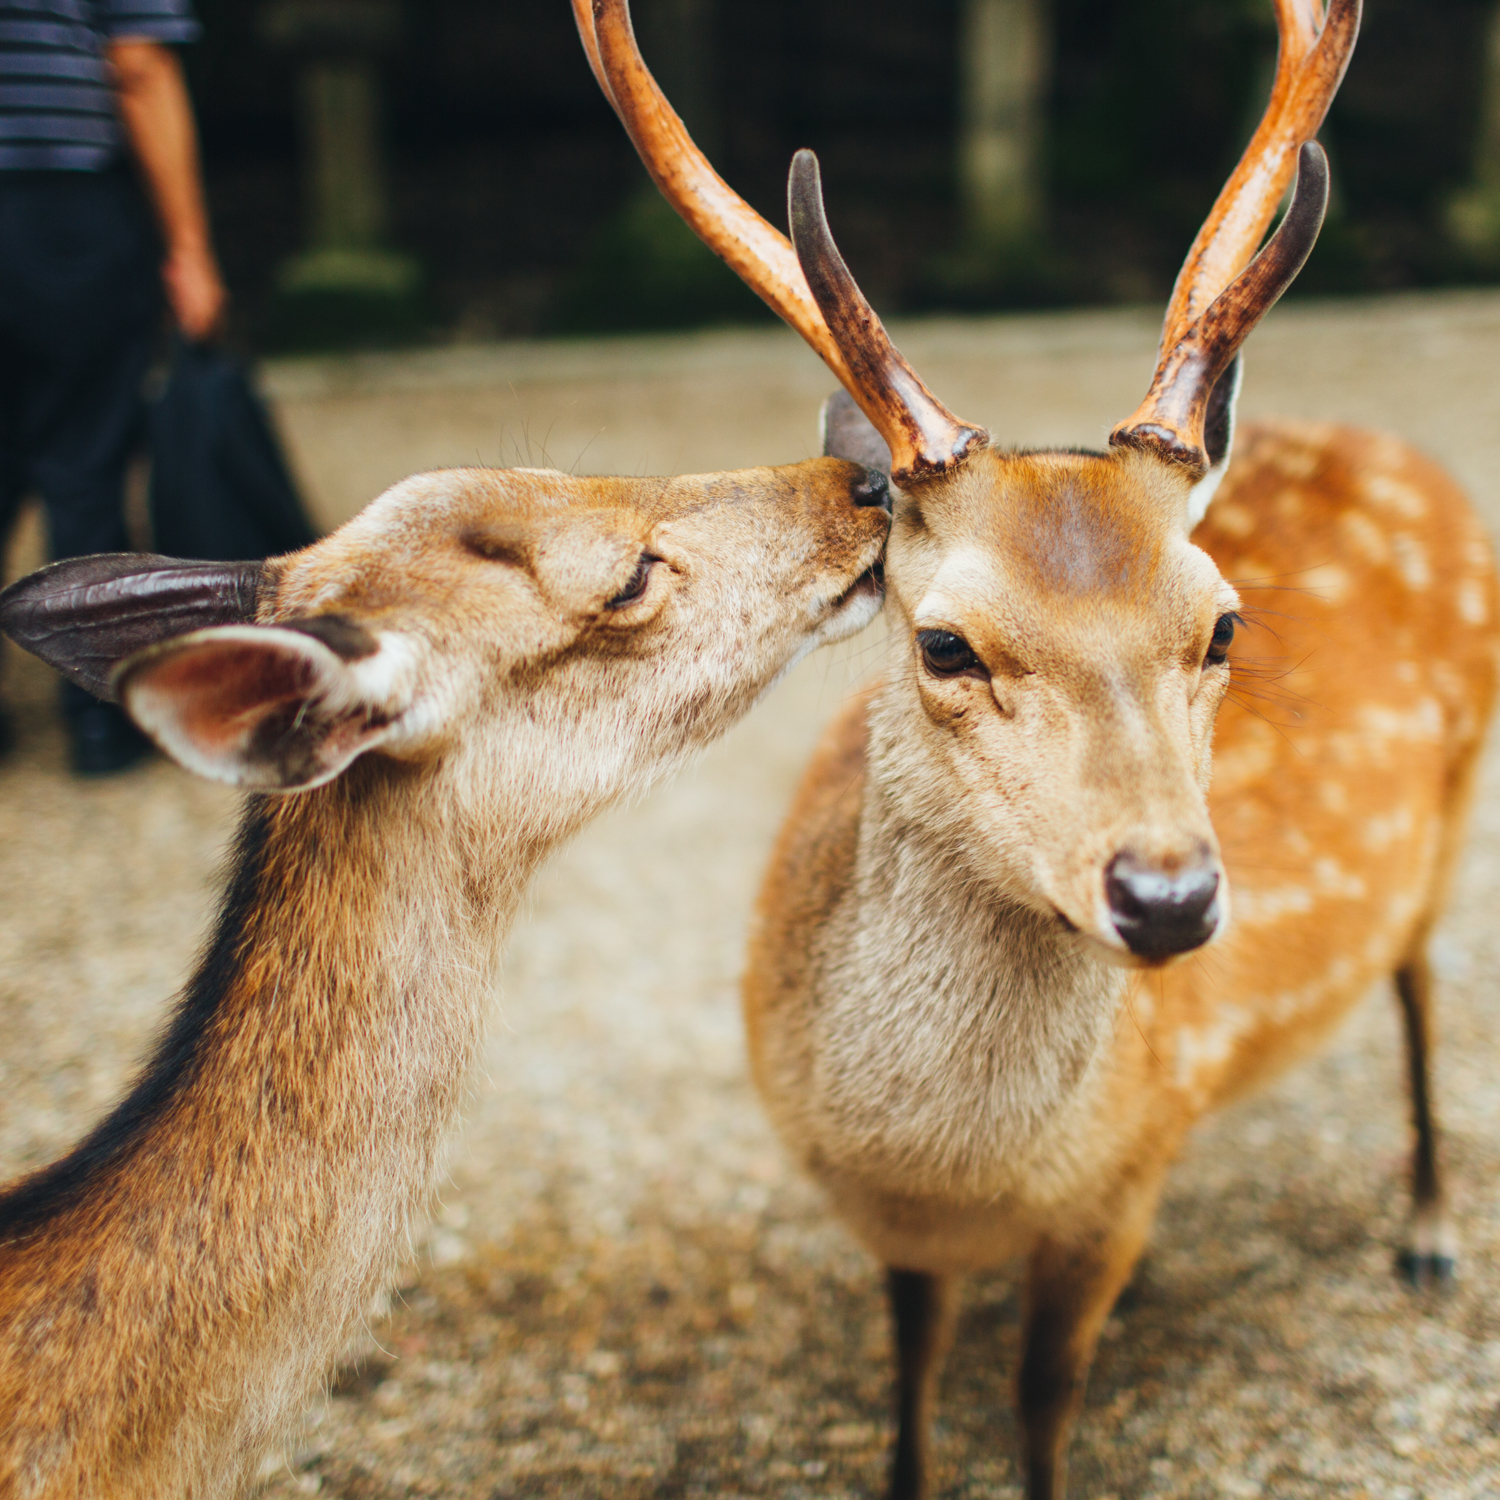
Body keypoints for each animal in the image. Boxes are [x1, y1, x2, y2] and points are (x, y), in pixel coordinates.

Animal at [576, 0, 1500, 1494]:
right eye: (946, 643)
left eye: (1223, 624)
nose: (1170, 898)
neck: (967, 1175)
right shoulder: (895, 1229)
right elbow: (908, 1384)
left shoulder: (1112, 1193)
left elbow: (1041, 1402)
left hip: (1458, 804)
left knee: (1419, 975)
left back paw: (1425, 1228)